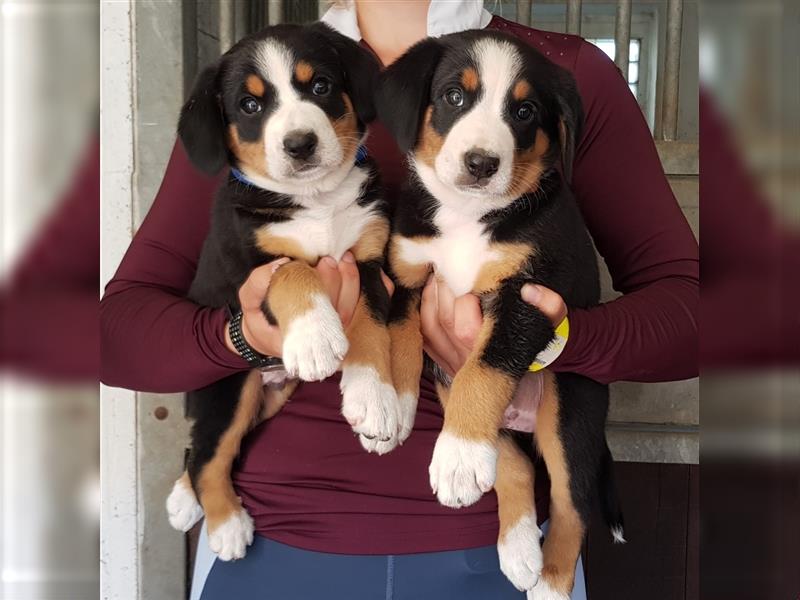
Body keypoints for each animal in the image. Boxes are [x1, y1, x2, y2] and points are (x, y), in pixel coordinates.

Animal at [166, 23, 410, 564]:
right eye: (249, 105)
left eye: (319, 85)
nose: (300, 144)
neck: (316, 201)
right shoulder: (250, 267)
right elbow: (295, 273)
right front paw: (316, 337)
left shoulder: (369, 262)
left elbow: (372, 331)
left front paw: (373, 399)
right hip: (230, 386)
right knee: (209, 453)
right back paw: (225, 523)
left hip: (271, 398)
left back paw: (185, 498)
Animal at [376, 32, 624, 600]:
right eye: (454, 97)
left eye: (525, 111)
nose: (481, 162)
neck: (467, 217)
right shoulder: (406, 277)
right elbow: (401, 344)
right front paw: (395, 408)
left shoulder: (526, 299)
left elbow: (484, 372)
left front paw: (458, 455)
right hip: (458, 386)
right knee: (515, 465)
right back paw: (516, 549)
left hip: (570, 404)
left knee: (572, 502)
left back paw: (549, 580)